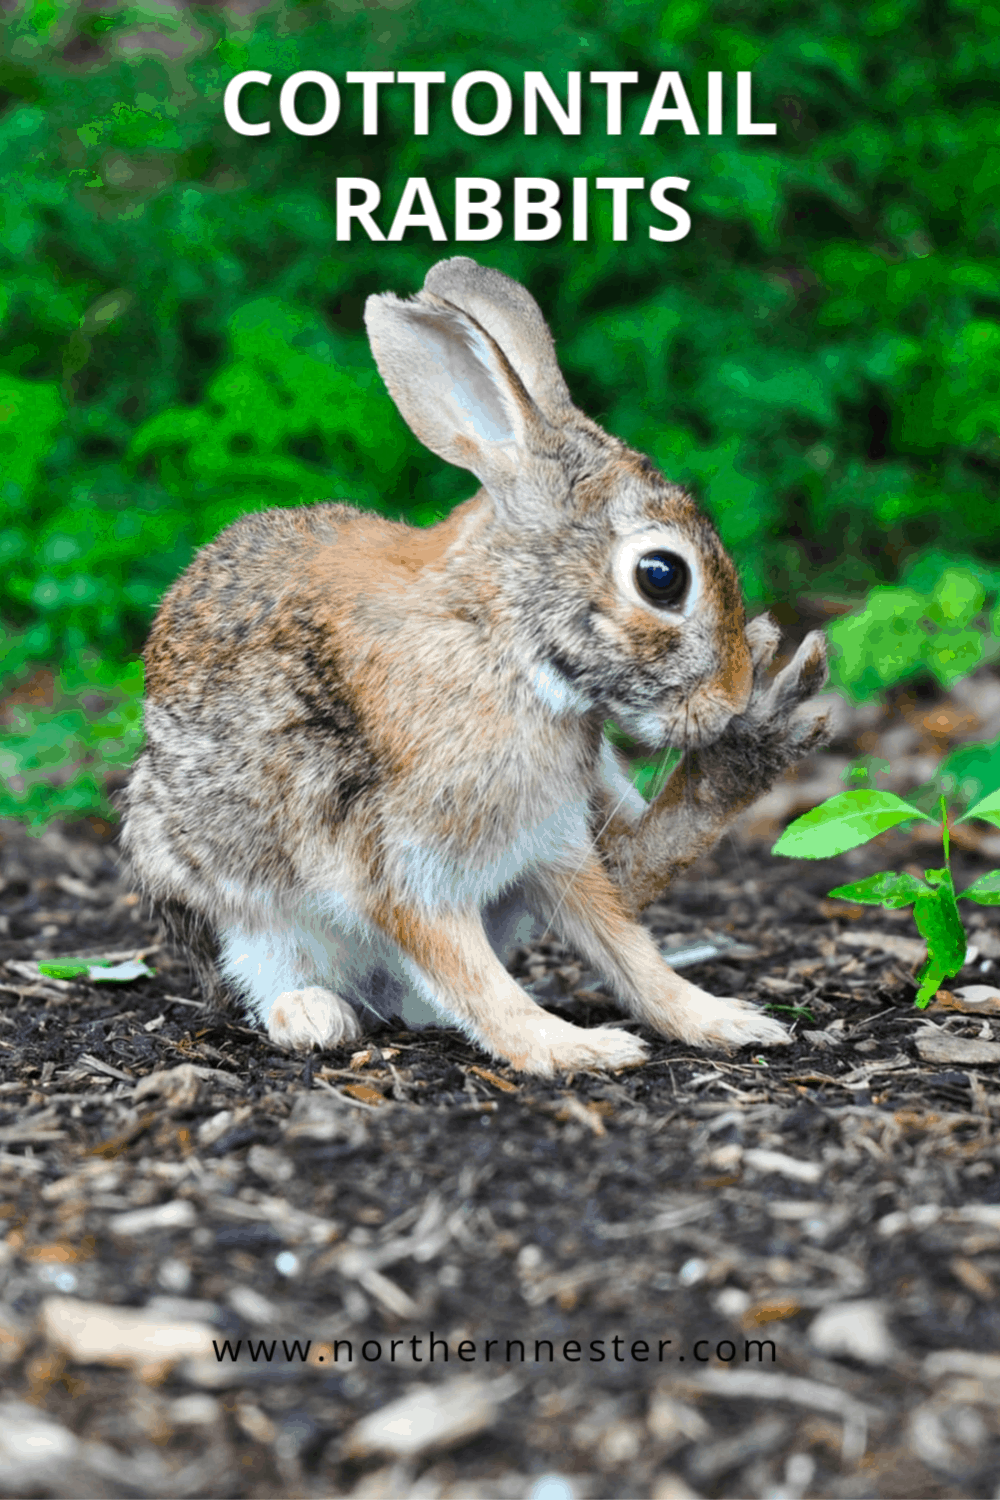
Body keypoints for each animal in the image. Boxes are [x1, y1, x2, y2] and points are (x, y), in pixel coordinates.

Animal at [121, 256, 830, 1077]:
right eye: (662, 576)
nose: (727, 700)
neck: (502, 639)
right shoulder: (401, 864)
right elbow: (476, 977)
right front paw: (571, 1048)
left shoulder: (551, 842)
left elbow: (627, 949)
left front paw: (720, 1022)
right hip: (228, 899)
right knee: (272, 974)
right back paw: (313, 1014)